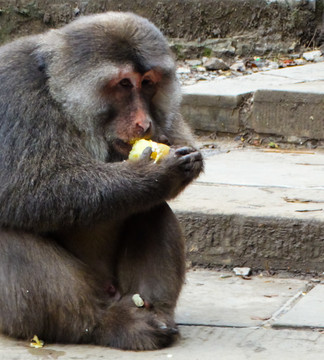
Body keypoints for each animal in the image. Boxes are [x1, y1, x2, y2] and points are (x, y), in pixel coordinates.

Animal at [0, 12, 202, 350]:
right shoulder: (14, 97)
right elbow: (27, 192)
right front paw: (154, 174)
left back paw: (152, 314)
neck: (56, 93)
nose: (144, 123)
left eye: (148, 83)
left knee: (151, 208)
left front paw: (183, 161)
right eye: (124, 84)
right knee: (10, 234)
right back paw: (104, 324)